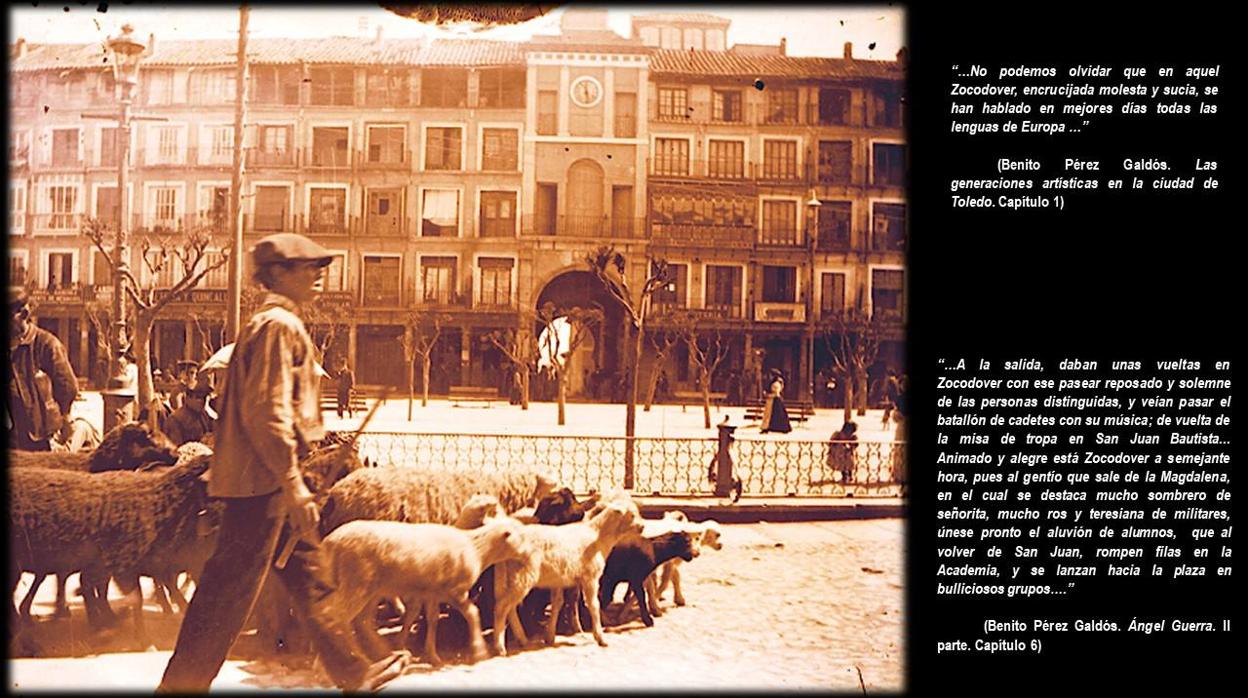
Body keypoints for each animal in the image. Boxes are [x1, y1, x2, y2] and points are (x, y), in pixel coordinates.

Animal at [319, 514, 529, 664]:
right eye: (520, 536)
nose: (529, 554)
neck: (477, 548)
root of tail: (331, 541)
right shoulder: (455, 591)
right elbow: (472, 614)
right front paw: (479, 651)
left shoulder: (432, 592)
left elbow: (431, 619)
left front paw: (431, 655)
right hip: (356, 584)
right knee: (336, 616)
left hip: (366, 589)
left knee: (358, 621)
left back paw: (379, 653)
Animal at [486, 501, 643, 654]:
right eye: (632, 515)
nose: (642, 527)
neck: (598, 537)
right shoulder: (590, 577)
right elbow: (594, 605)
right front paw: (600, 638)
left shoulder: (559, 580)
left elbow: (557, 603)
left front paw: (550, 637)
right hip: (523, 576)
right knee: (501, 607)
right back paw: (500, 647)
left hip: (510, 577)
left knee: (509, 608)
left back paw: (522, 639)